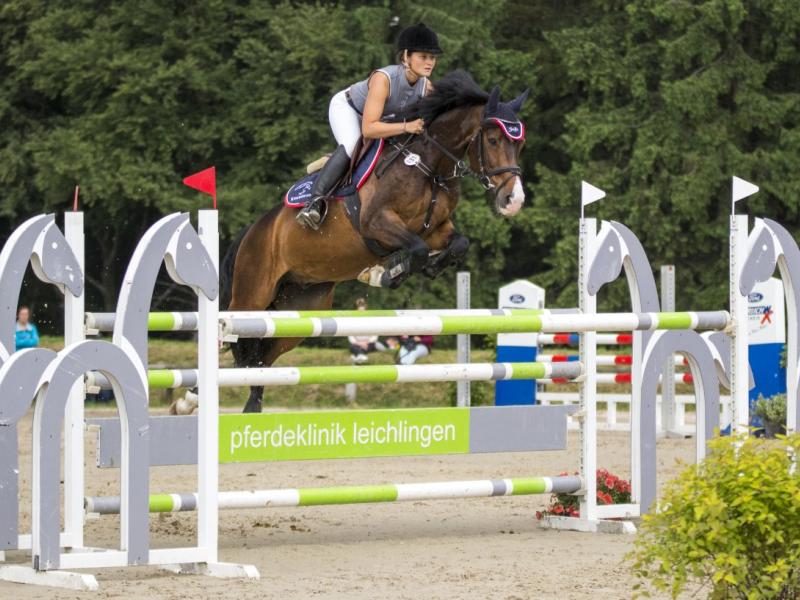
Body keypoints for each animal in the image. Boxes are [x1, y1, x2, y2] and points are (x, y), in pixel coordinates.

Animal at [222, 70, 532, 412]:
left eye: (520, 145)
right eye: (492, 140)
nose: (514, 200)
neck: (428, 165)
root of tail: (252, 230)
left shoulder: (436, 228)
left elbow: (456, 244)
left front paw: (414, 268)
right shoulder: (376, 223)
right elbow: (417, 249)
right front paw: (384, 273)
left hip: (300, 307)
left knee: (261, 360)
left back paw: (251, 409)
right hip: (253, 296)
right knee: (238, 340)